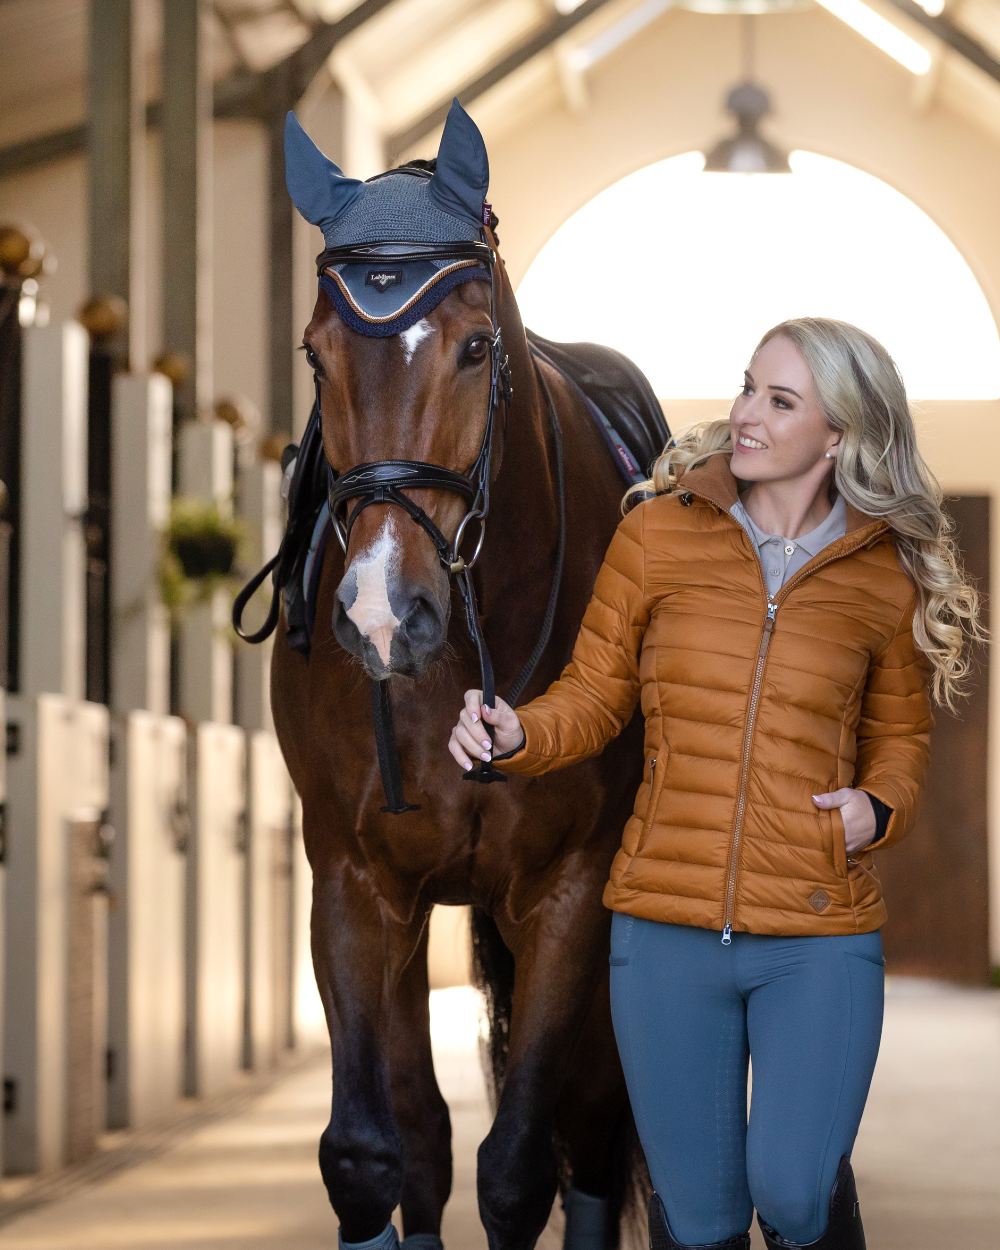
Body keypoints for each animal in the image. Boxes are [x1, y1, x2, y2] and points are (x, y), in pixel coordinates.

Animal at [253, 97, 670, 1250]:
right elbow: (374, 1152)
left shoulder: (569, 891)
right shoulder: (356, 880)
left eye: (477, 347)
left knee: (596, 1125)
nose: (380, 613)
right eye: (315, 356)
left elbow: (521, 1163)